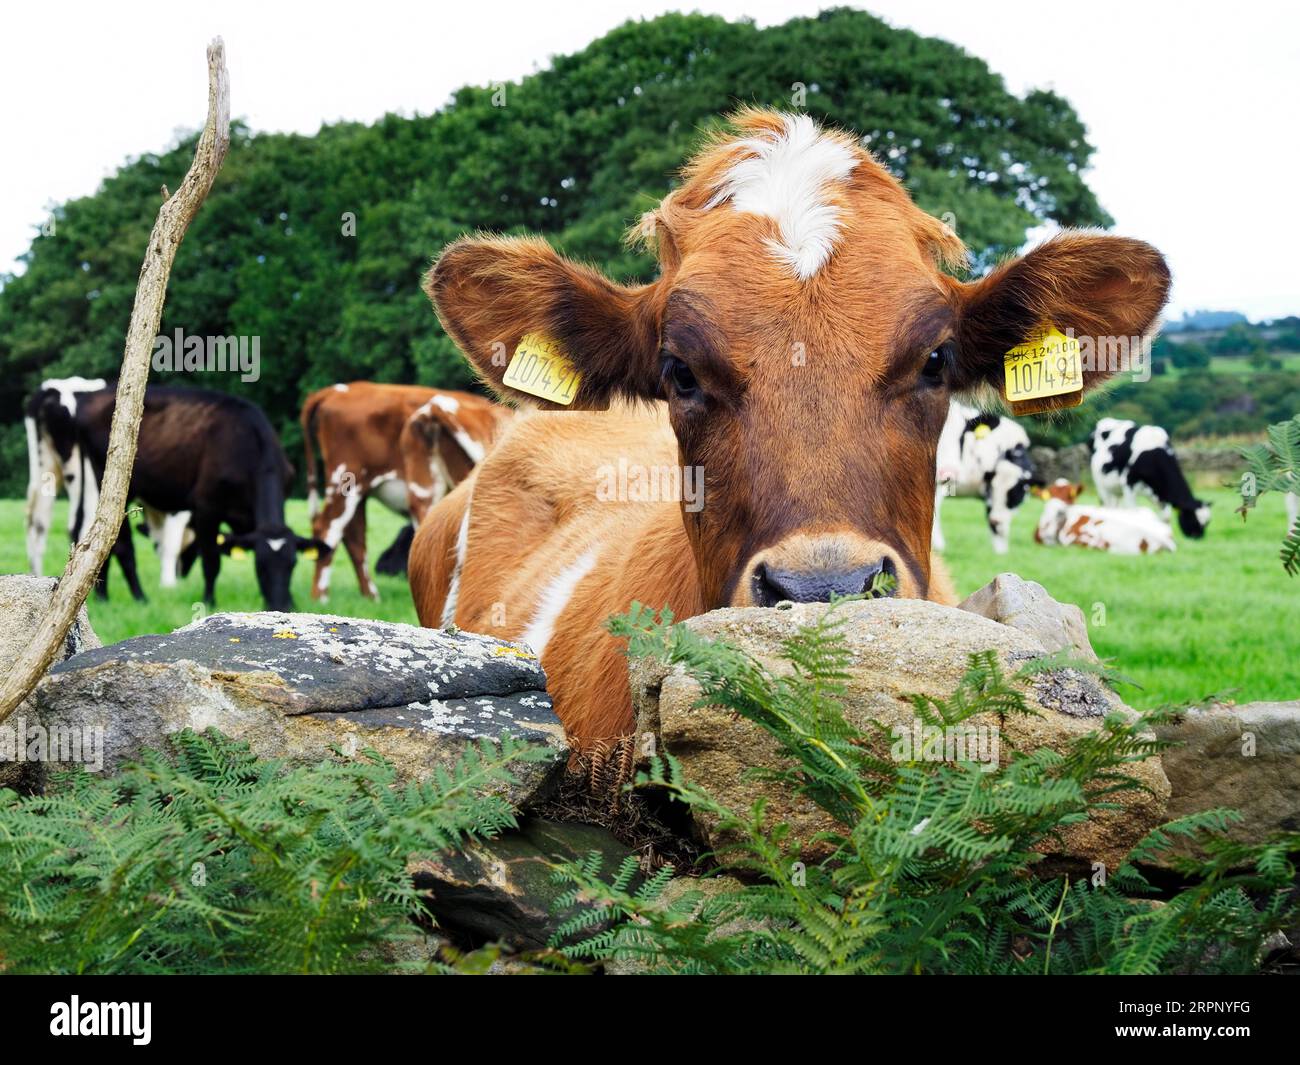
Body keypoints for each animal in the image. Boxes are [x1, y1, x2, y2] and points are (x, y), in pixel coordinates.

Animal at [65, 387, 325, 611]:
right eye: (260, 566)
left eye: (293, 564)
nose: (281, 605)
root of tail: (91, 396)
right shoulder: (207, 507)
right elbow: (211, 561)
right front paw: (209, 601)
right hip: (114, 484)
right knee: (122, 546)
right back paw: (139, 598)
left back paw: (103, 597)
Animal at [301, 382, 509, 600]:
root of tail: (332, 391)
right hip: (346, 477)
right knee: (328, 528)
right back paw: (321, 597)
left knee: (354, 536)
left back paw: (371, 596)